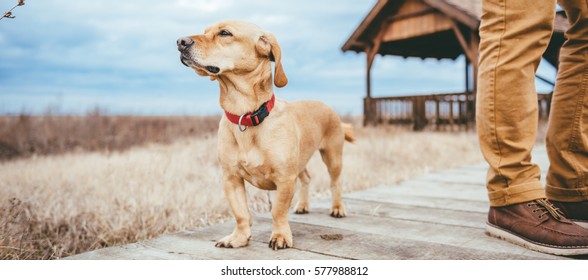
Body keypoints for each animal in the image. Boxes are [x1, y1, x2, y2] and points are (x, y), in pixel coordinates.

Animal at [176, 20, 354, 250]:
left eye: (225, 33)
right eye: (205, 31)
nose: (180, 42)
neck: (245, 115)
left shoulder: (285, 179)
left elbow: (278, 211)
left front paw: (280, 236)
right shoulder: (231, 178)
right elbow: (241, 213)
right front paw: (239, 237)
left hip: (332, 157)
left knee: (335, 183)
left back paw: (338, 208)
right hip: (301, 161)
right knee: (306, 178)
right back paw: (303, 205)